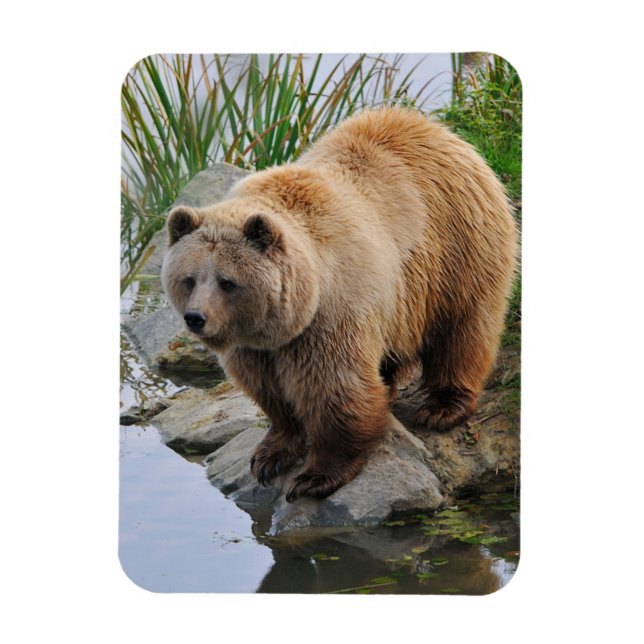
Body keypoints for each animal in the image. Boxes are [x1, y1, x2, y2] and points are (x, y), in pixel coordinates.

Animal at [161, 107, 518, 502]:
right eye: (189, 278)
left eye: (227, 281)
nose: (196, 317)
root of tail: (435, 128)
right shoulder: (255, 344)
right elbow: (269, 391)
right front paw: (270, 455)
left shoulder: (330, 314)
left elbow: (335, 389)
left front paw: (315, 477)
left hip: (455, 247)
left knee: (462, 329)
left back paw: (443, 406)